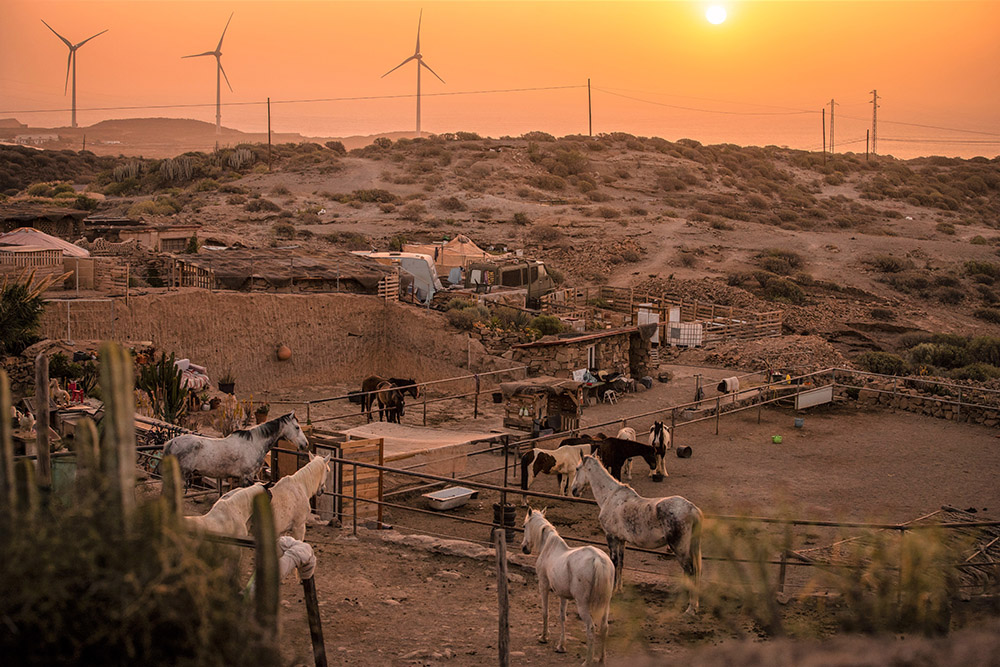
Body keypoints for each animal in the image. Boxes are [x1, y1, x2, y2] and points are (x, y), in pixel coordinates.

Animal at [520, 508, 612, 664]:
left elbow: (545, 612)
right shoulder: (563, 595)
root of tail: (598, 559)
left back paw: (587, 662)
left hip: (583, 605)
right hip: (605, 604)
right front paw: (561, 646)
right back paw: (601, 660)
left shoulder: (543, 585)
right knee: (604, 628)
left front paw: (543, 637)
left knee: (591, 628)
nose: (524, 548)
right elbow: (562, 617)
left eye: (524, 526)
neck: (548, 548)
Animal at [572, 454, 704, 616]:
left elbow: (614, 562)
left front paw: (613, 592)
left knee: (690, 572)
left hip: (680, 549)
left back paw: (690, 608)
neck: (610, 497)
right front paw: (619, 590)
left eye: (577, 469)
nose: (573, 490)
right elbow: (621, 563)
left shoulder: (611, 537)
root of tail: (692, 508)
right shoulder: (621, 540)